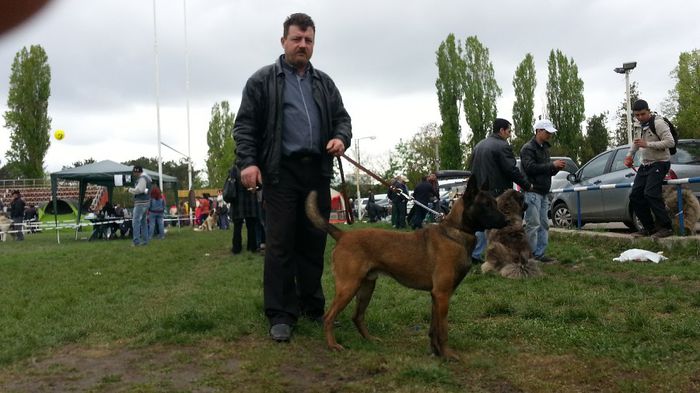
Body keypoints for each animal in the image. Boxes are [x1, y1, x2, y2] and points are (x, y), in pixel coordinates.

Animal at [306, 175, 508, 358]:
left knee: (357, 317)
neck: (455, 232)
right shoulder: (442, 294)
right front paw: (448, 354)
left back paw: (369, 340)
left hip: (366, 287)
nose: (507, 220)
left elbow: (433, 328)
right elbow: (442, 330)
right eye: (486, 205)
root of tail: (342, 235)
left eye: (494, 202)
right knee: (329, 317)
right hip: (348, 287)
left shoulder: (436, 296)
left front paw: (436, 352)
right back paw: (333, 345)